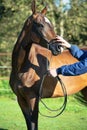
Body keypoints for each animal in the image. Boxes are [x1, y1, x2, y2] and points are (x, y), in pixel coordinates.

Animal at [9, 0, 87, 129]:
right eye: (40, 25)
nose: (59, 47)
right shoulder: (21, 100)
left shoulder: (33, 99)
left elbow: (34, 124)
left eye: (51, 25)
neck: (22, 68)